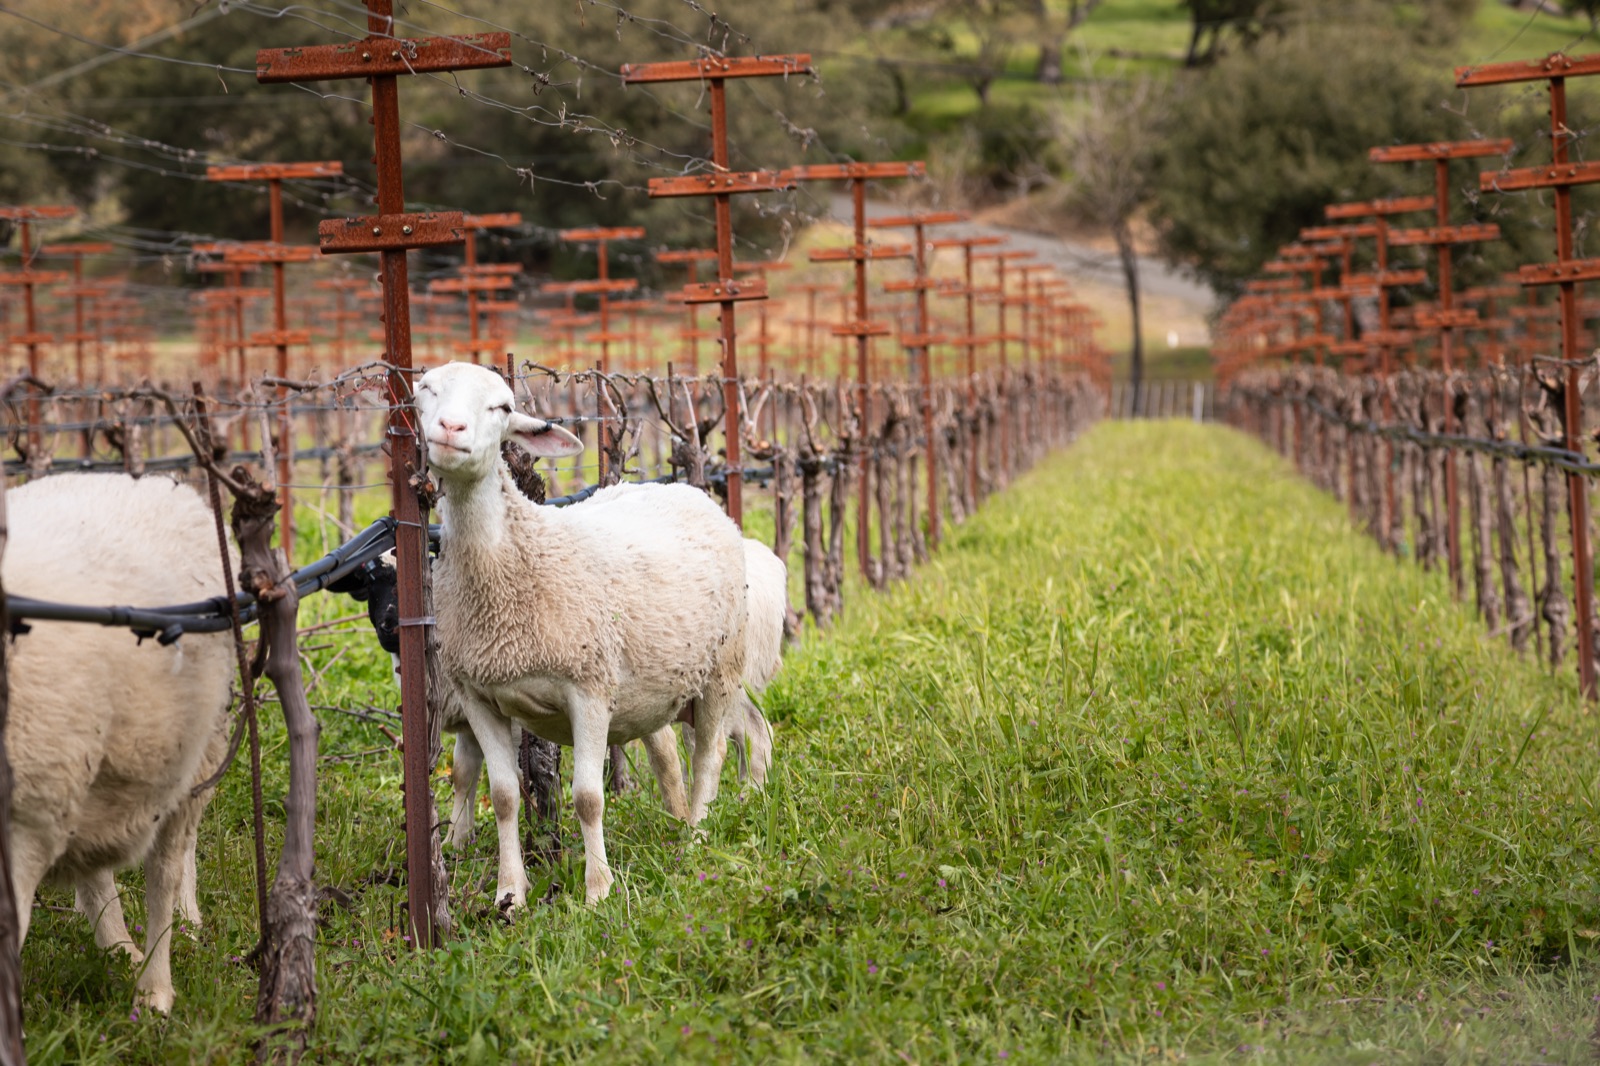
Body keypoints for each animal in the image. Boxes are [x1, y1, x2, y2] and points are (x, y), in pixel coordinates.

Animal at [414, 361, 748, 908]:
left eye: (502, 407)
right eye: (425, 390)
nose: (450, 429)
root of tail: (683, 489)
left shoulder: (588, 688)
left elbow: (588, 798)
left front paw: (598, 892)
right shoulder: (478, 693)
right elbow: (503, 796)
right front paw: (510, 894)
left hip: (721, 668)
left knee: (708, 756)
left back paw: (695, 839)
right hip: (651, 685)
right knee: (669, 757)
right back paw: (678, 822)